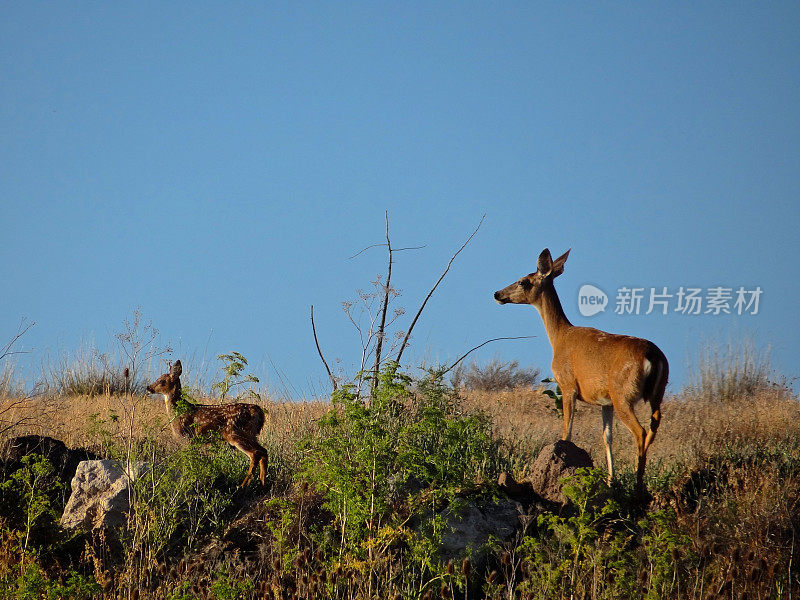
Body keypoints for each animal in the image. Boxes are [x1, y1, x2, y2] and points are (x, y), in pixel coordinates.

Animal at [145, 360, 268, 488]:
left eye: (161, 380)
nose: (148, 388)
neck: (178, 412)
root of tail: (258, 412)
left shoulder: (186, 437)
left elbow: (188, 459)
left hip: (235, 433)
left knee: (255, 453)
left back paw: (243, 485)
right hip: (251, 434)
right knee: (264, 451)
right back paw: (262, 483)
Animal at [494, 250, 668, 496]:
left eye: (523, 281)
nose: (497, 294)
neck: (559, 337)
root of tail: (653, 355)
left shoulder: (567, 384)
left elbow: (567, 430)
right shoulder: (605, 401)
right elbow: (607, 437)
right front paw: (610, 481)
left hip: (623, 393)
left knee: (640, 431)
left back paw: (638, 485)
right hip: (656, 393)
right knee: (654, 425)